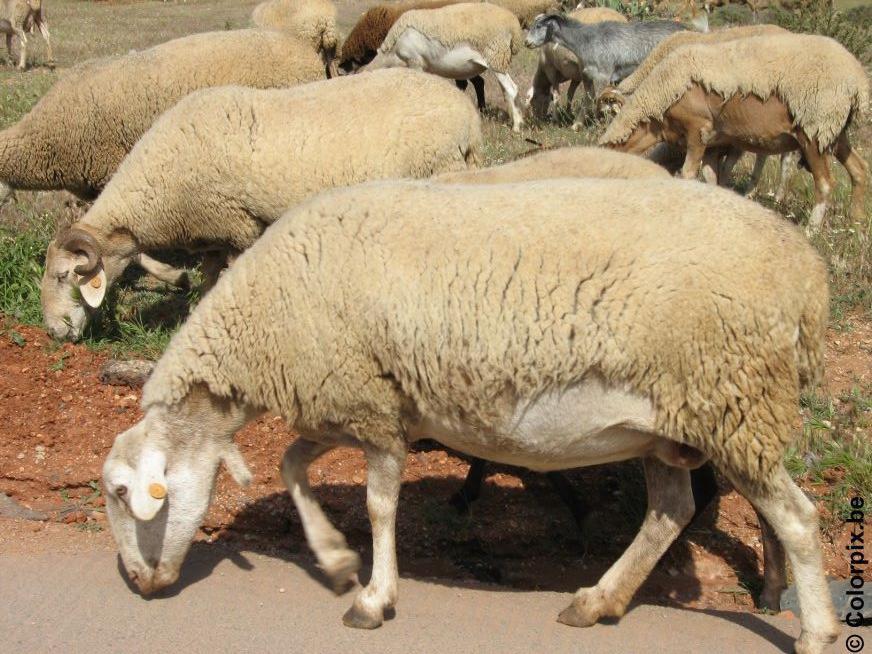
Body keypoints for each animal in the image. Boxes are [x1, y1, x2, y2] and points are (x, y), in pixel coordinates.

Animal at [40, 69, 482, 342]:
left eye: (64, 276)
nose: (54, 333)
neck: (157, 187)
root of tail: (467, 118)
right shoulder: (213, 233)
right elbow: (209, 280)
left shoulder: (239, 226)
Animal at [102, 177, 837, 653]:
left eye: (119, 492)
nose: (137, 584)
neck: (261, 325)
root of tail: (808, 278)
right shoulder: (358, 403)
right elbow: (290, 464)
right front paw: (336, 561)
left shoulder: (373, 409)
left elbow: (379, 506)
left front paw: (372, 599)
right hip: (671, 423)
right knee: (670, 511)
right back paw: (598, 601)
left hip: (734, 400)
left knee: (797, 518)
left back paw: (816, 632)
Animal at [363, 3, 525, 132]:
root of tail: (513, 26)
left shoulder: (415, 62)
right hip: (501, 61)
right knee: (506, 91)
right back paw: (511, 120)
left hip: (495, 58)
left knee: (512, 89)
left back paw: (516, 127)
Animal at [524, 13, 686, 129]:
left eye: (539, 26)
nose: (526, 42)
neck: (585, 41)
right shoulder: (586, 75)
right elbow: (588, 99)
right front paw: (577, 125)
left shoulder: (604, 75)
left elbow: (601, 100)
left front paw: (601, 125)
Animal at [599, 33, 870, 231]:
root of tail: (857, 79)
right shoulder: (715, 142)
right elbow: (711, 177)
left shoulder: (698, 130)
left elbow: (688, 173)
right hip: (834, 131)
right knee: (859, 169)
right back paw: (855, 222)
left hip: (814, 128)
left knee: (825, 183)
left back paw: (812, 230)